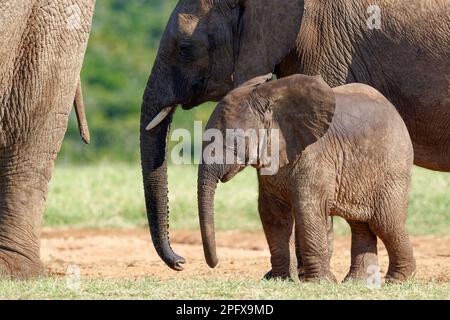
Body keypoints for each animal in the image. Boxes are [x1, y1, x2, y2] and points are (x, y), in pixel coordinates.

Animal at [199, 73, 416, 282]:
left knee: (385, 222)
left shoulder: (315, 155)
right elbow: (272, 213)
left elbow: (308, 208)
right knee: (360, 225)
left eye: (235, 141)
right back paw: (357, 283)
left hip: (393, 167)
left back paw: (398, 280)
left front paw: (319, 282)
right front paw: (279, 279)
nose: (215, 263)